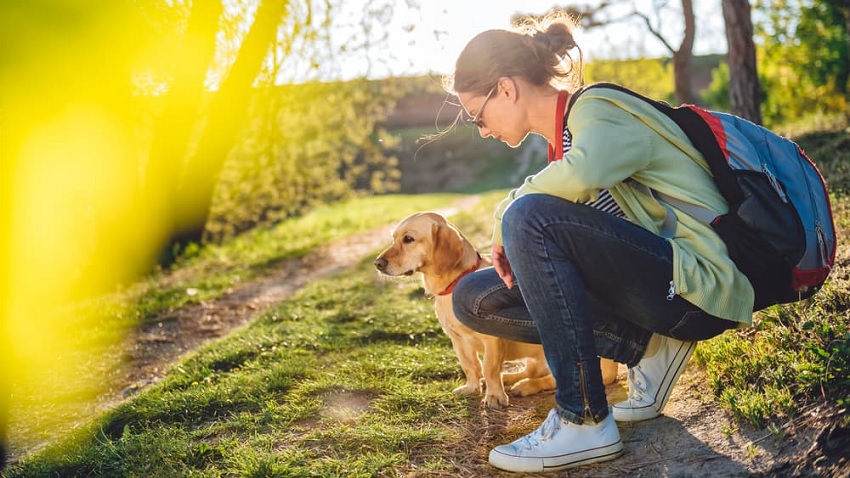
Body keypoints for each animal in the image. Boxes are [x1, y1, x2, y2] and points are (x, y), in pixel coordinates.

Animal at [372, 212, 616, 408]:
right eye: (393, 238)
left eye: (408, 239)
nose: (377, 264)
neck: (453, 285)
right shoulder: (457, 340)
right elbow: (471, 366)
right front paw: (472, 387)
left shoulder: (491, 340)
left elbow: (488, 368)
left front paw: (494, 396)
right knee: (532, 370)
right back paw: (509, 378)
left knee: (556, 379)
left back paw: (525, 386)